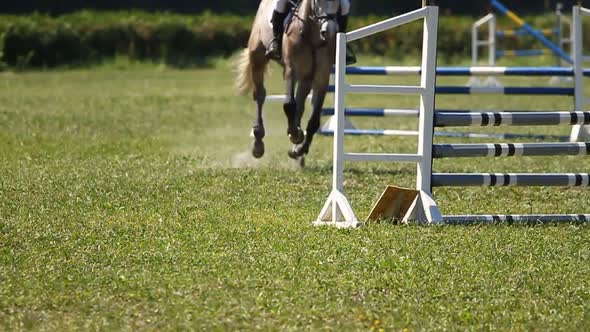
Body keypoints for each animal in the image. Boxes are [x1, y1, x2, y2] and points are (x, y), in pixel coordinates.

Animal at [235, 0, 340, 162]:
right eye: (317, 1)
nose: (329, 31)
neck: (311, 36)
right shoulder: (291, 70)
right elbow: (289, 105)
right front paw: (295, 136)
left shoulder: (322, 76)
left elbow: (314, 119)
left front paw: (299, 148)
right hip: (257, 58)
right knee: (260, 95)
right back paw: (258, 142)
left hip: (306, 77)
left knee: (300, 103)